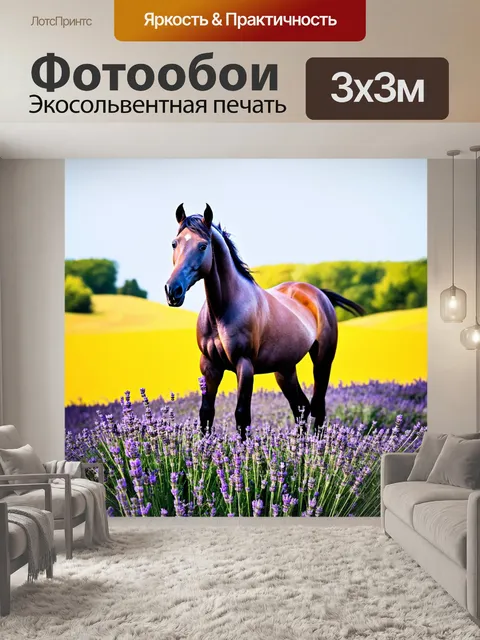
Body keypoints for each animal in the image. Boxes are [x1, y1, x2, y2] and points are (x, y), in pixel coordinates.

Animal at [165, 204, 365, 440]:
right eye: (175, 243)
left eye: (203, 245)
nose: (173, 290)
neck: (222, 312)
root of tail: (319, 294)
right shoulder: (209, 366)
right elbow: (206, 414)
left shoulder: (245, 365)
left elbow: (242, 416)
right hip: (285, 370)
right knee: (301, 406)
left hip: (322, 361)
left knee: (318, 407)